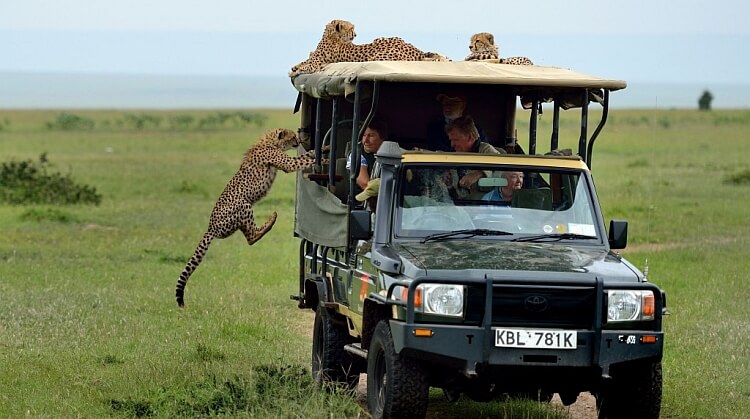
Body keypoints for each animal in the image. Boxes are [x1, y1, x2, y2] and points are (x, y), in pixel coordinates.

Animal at [178, 126, 330, 306]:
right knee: (252, 237)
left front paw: (324, 149)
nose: (298, 141)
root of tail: (210, 228)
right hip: (243, 204)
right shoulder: (288, 164)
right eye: (292, 136)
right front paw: (324, 161)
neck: (270, 142)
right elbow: (303, 161)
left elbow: (307, 155)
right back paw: (271, 220)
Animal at [290, 19, 450, 77]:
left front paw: (295, 71)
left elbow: (308, 65)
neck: (331, 36)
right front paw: (294, 67)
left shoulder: (317, 62)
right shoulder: (314, 58)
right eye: (352, 28)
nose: (355, 34)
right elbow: (305, 61)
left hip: (378, 57)